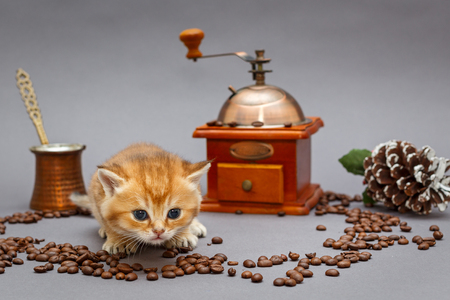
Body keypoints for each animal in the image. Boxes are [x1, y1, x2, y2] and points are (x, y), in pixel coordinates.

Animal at [71, 143, 210, 253]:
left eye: (174, 213)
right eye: (140, 214)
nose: (159, 231)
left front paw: (182, 235)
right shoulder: (98, 197)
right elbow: (108, 221)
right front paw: (118, 240)